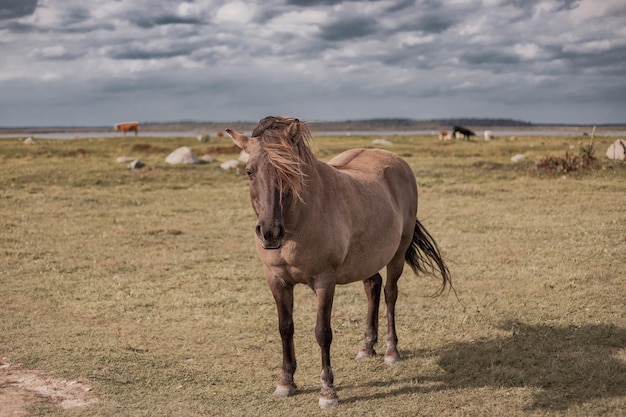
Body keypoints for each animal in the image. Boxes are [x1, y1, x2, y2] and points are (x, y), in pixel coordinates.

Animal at [224, 116, 448, 406]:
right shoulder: (276, 280)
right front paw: (286, 382)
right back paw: (366, 347)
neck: (298, 222)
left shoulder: (324, 281)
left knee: (390, 294)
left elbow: (322, 332)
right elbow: (285, 328)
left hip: (397, 254)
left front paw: (327, 390)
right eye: (250, 172)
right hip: (367, 258)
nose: (270, 232)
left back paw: (391, 351)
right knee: (373, 287)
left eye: (291, 172)